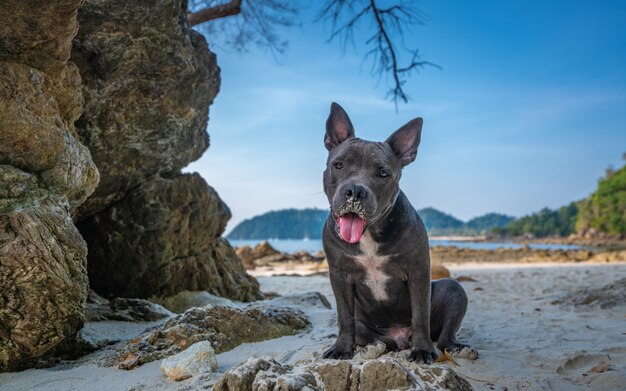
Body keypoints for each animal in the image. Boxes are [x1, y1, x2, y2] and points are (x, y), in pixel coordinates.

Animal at [320, 102, 476, 364]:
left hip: (453, 291)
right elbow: (344, 318)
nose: (355, 191)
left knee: (445, 335)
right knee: (376, 338)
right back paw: (373, 348)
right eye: (338, 165)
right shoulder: (339, 276)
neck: (369, 234)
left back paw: (456, 348)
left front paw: (422, 350)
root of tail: (401, 338)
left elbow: (420, 315)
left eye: (383, 173)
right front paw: (342, 348)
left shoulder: (418, 271)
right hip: (366, 324)